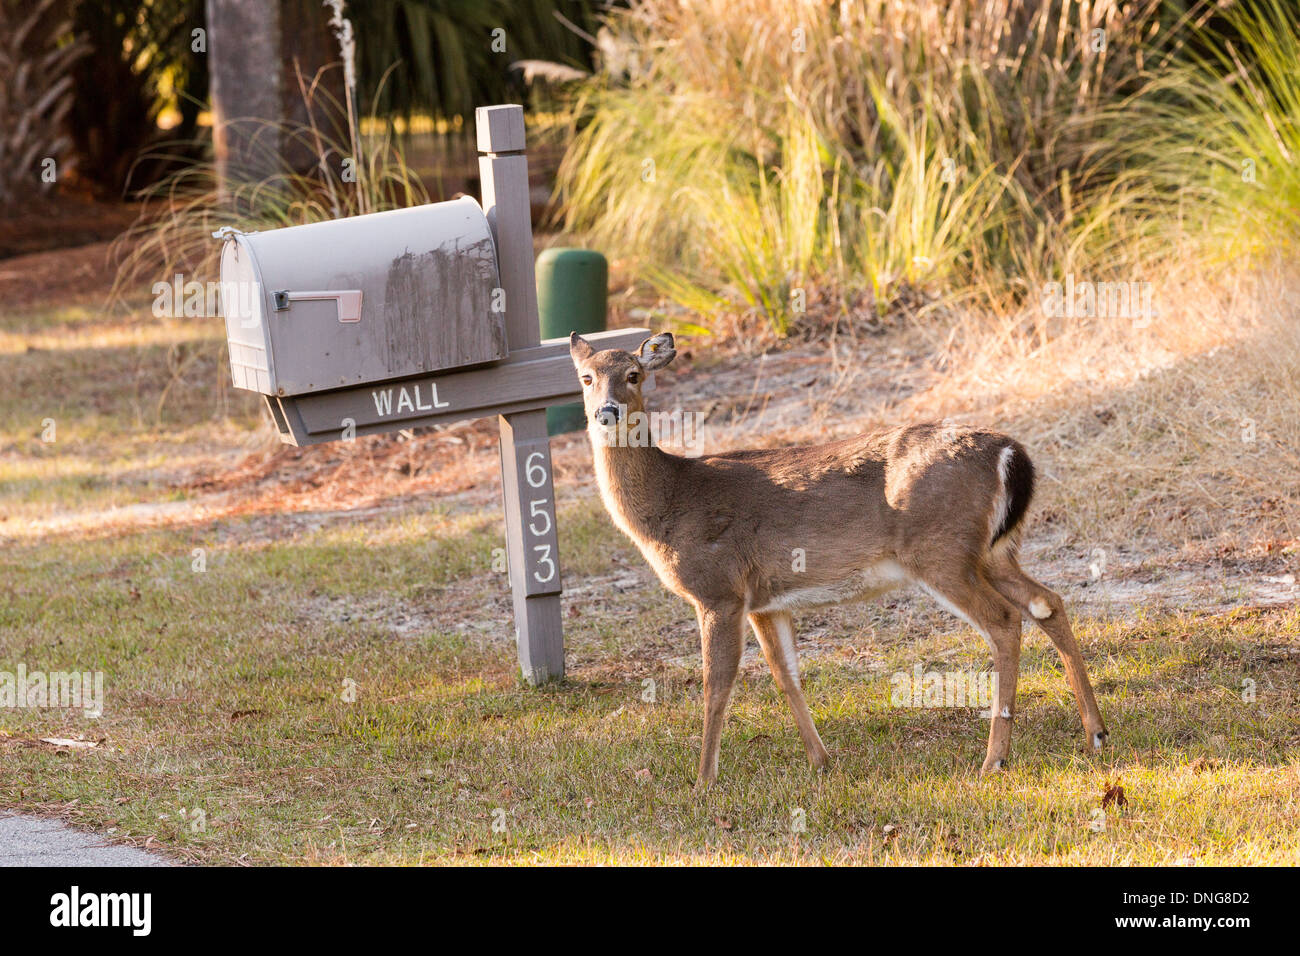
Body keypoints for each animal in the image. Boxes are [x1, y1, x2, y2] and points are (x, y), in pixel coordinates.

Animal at [569, 332, 1107, 790]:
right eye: (587, 378)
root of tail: (1011, 453)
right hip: (994, 551)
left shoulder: (718, 590)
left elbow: (715, 686)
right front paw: (821, 761)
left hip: (940, 551)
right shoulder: (764, 600)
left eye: (634, 374)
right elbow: (785, 675)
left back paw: (994, 758)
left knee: (1004, 620)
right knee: (1047, 602)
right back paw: (1096, 733)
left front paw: (703, 781)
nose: (607, 412)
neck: (669, 505)